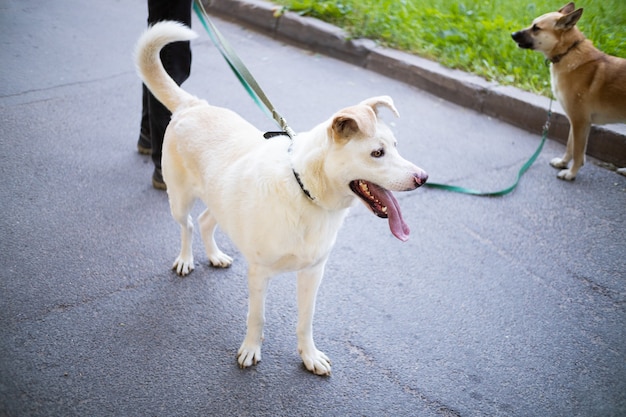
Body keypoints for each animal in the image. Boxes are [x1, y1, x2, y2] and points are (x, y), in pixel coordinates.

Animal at [134, 21, 426, 376]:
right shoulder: (259, 274)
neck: (305, 192)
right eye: (377, 153)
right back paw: (186, 259)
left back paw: (215, 255)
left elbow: (305, 321)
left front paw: (309, 355)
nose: (423, 178)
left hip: (220, 199)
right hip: (178, 199)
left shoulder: (313, 273)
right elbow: (257, 318)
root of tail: (194, 106)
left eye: (395, 146)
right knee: (187, 224)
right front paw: (250, 350)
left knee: (204, 221)